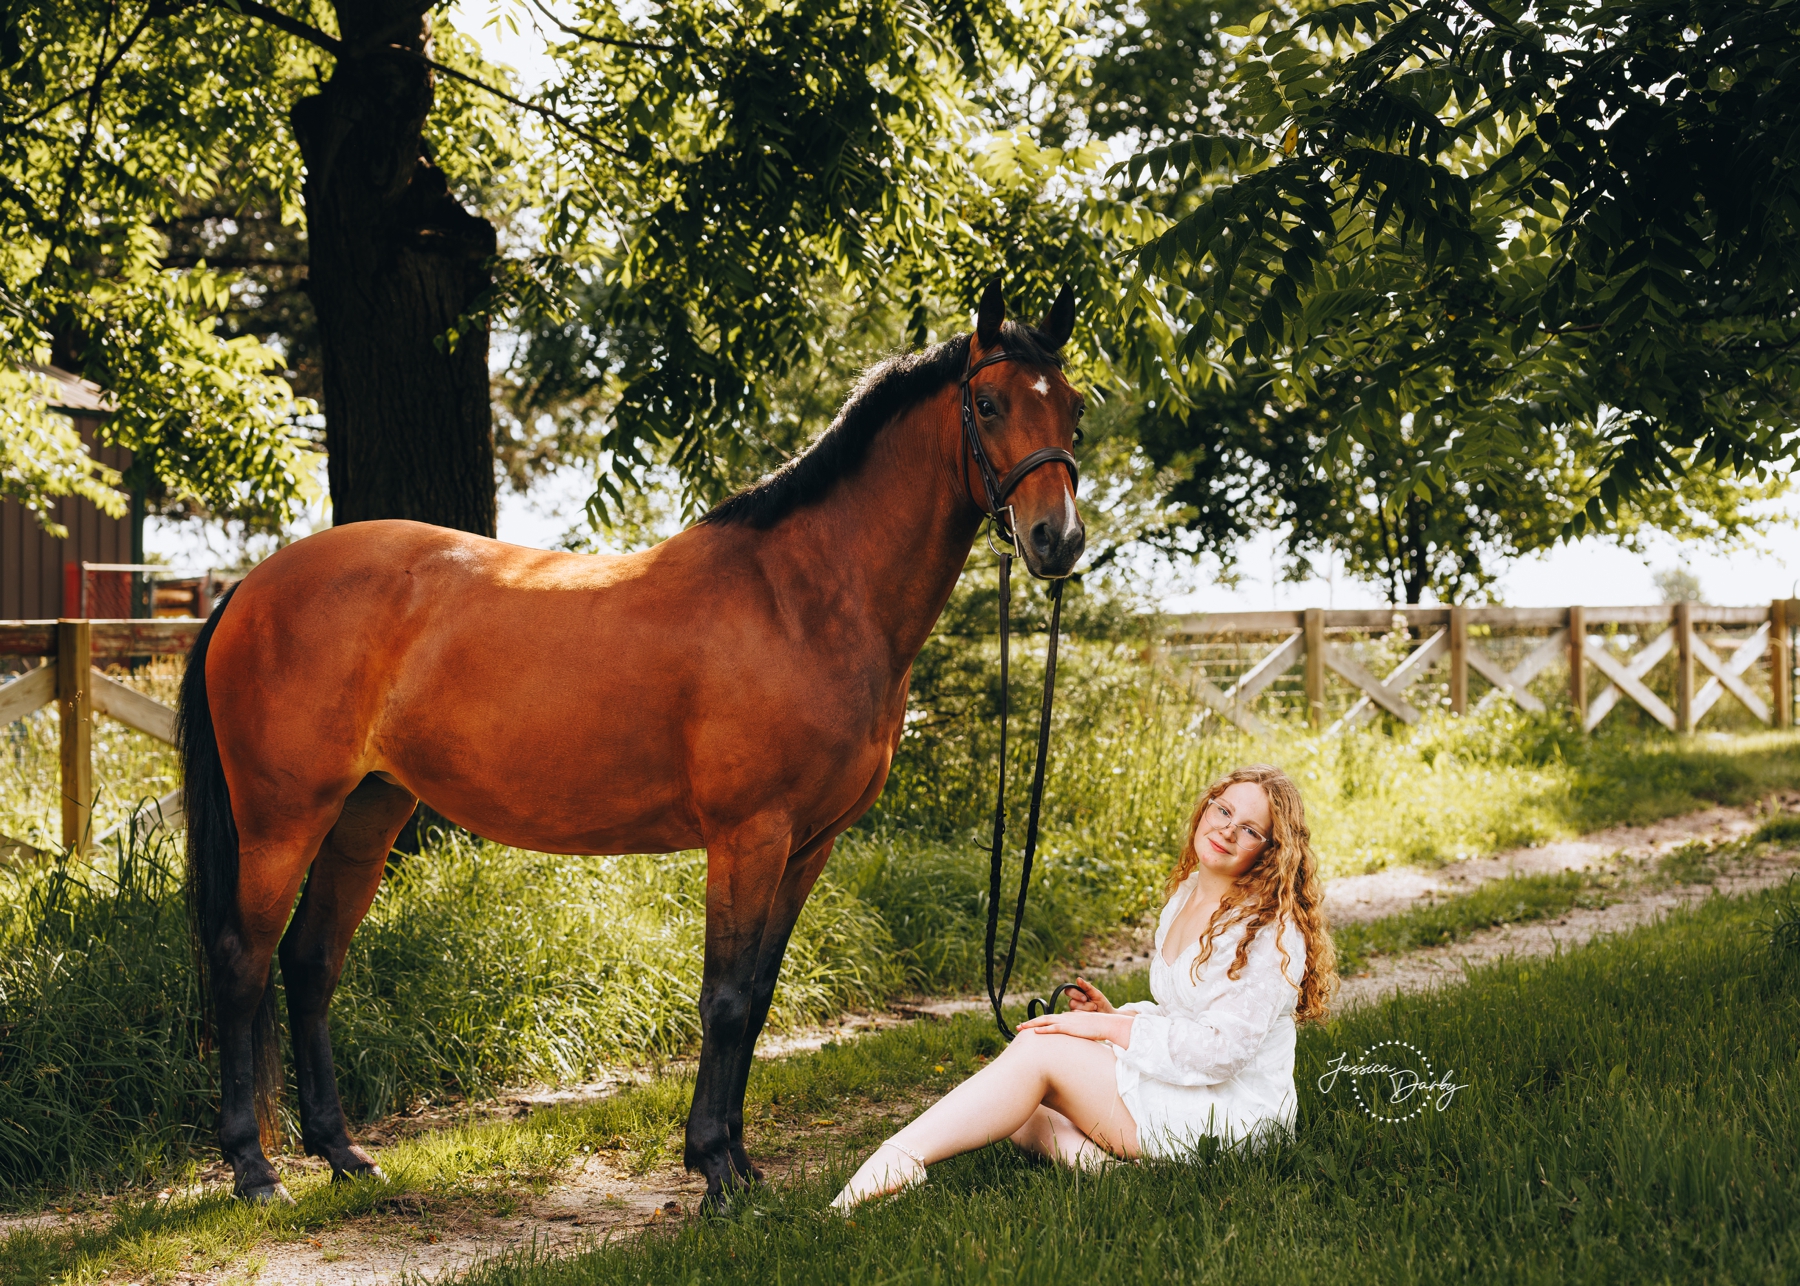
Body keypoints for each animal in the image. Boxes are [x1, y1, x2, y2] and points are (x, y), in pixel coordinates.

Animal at [177, 276, 1086, 1204]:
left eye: (1074, 410)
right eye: (987, 403)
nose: (1058, 540)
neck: (801, 600)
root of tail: (252, 587)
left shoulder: (809, 845)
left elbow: (758, 998)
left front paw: (742, 1164)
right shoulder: (749, 836)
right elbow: (725, 999)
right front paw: (714, 1169)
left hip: (367, 812)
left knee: (310, 960)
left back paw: (343, 1153)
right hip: (282, 819)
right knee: (242, 961)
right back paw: (255, 1169)